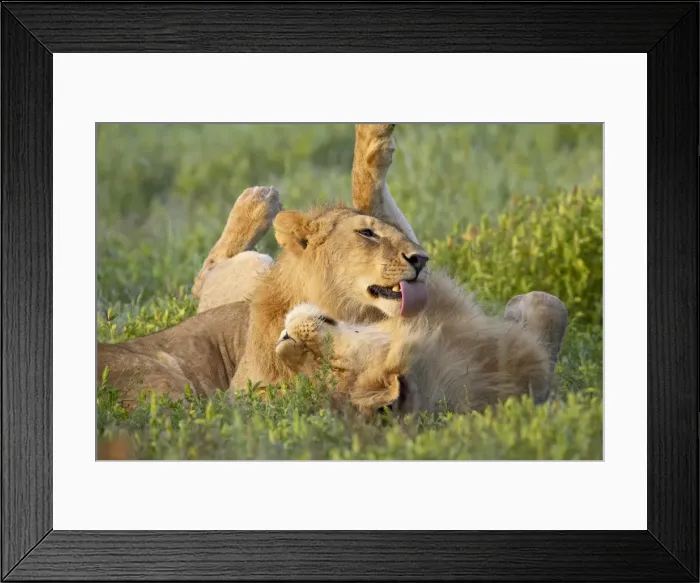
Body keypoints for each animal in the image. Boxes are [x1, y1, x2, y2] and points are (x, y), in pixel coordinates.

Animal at [98, 124, 568, 418]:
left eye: (385, 234)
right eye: (367, 234)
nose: (420, 260)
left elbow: (549, 306)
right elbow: (369, 194)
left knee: (211, 273)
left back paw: (258, 202)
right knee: (206, 274)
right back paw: (259, 200)